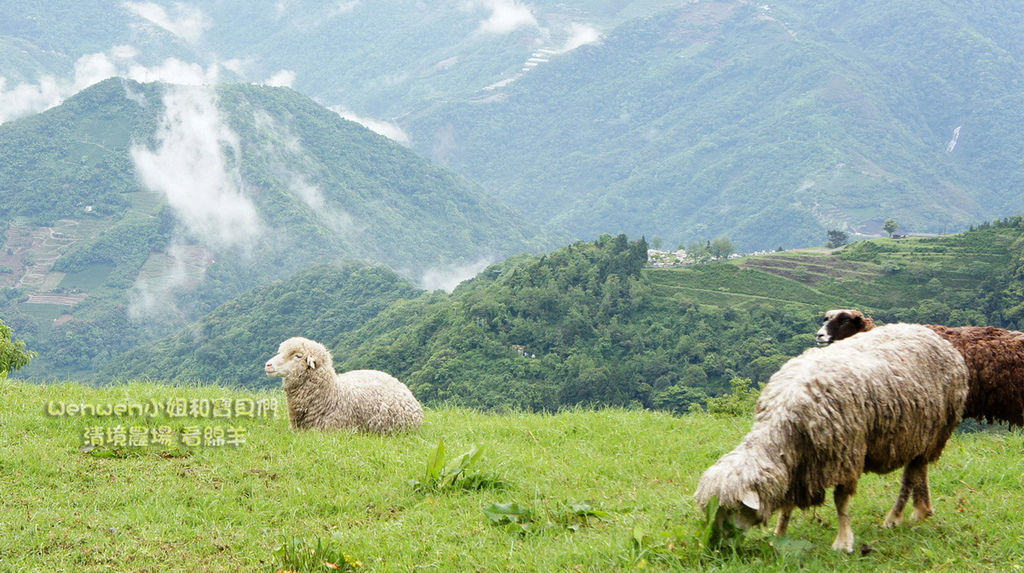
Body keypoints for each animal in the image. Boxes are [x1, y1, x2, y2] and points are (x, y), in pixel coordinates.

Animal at [696, 323, 966, 552]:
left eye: (730, 510)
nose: (716, 547)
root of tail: (934, 335)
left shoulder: (845, 453)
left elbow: (841, 500)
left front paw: (843, 542)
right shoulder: (797, 463)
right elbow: (787, 504)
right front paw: (780, 535)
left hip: (930, 431)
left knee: (911, 474)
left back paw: (898, 516)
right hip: (916, 436)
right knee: (917, 470)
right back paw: (920, 511)